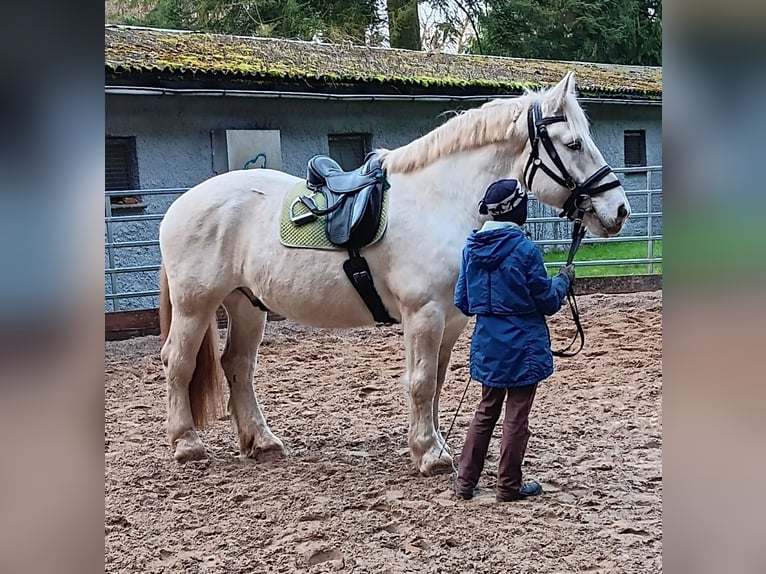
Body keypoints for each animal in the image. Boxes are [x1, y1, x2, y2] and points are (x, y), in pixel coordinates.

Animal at [158, 72, 631, 476]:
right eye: (573, 144)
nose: (620, 210)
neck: (438, 201)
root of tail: (181, 204)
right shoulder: (423, 314)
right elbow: (420, 383)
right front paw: (430, 455)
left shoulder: (450, 320)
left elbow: (436, 383)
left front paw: (432, 444)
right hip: (195, 305)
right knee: (178, 361)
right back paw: (186, 445)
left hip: (247, 305)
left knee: (237, 365)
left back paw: (261, 442)